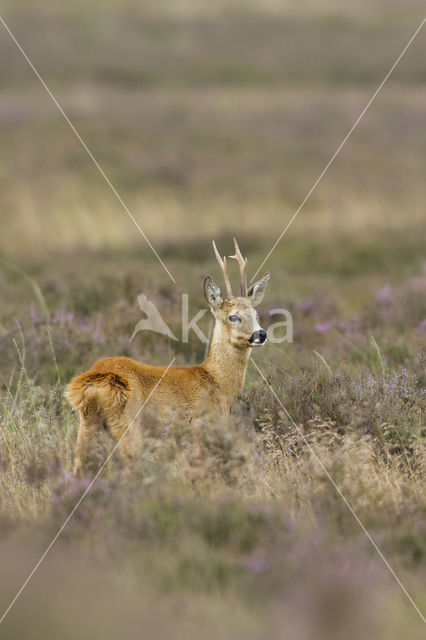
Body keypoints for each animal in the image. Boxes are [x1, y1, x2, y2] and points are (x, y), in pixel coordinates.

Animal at [66, 240, 270, 476]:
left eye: (256, 314)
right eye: (233, 316)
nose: (261, 334)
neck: (216, 383)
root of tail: (97, 379)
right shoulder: (200, 426)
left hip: (87, 425)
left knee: (78, 467)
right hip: (128, 425)